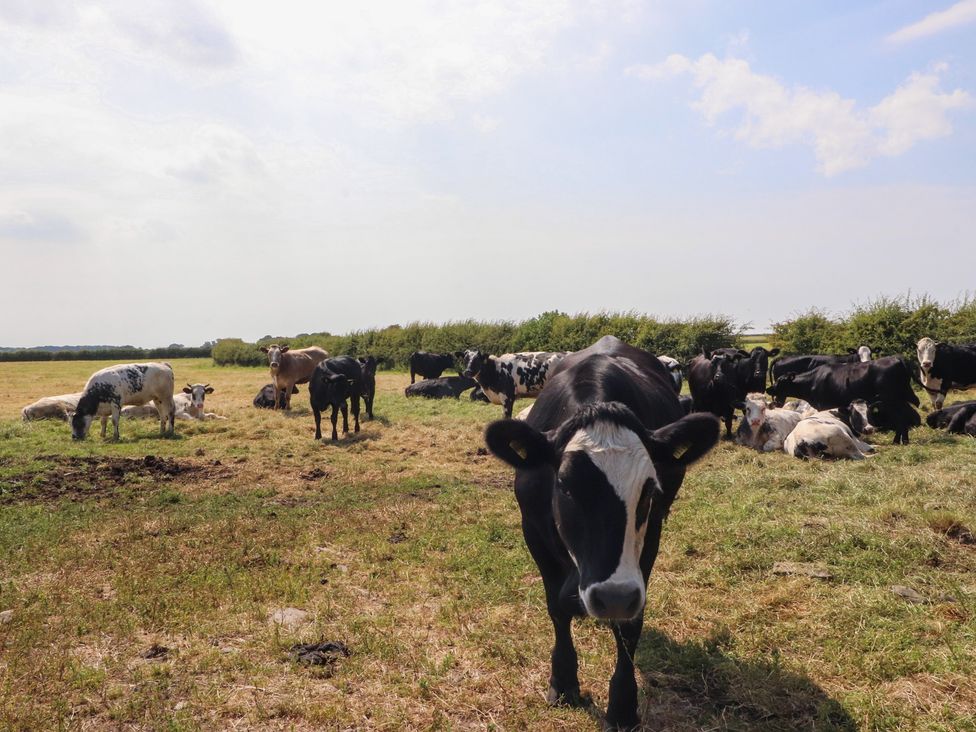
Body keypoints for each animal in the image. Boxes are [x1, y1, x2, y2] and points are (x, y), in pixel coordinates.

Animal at [482, 334, 716, 728]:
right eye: (564, 485)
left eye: (650, 490)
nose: (613, 597)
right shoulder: (533, 532)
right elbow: (556, 609)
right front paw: (563, 682)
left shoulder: (647, 542)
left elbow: (629, 626)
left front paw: (622, 706)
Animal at [768, 356, 920, 444]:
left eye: (780, 382)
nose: (769, 389)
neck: (813, 381)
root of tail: (898, 359)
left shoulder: (824, 405)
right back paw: (900, 440)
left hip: (893, 400)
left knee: (901, 419)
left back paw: (901, 441)